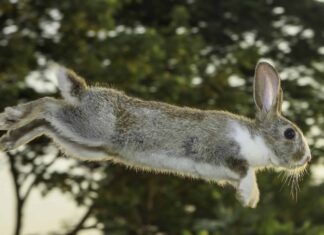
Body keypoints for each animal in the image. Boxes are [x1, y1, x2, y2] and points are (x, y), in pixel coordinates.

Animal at [0, 61, 312, 207]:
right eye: (289, 134)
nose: (307, 159)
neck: (257, 138)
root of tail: (85, 93)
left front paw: (247, 197)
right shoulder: (222, 151)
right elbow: (247, 172)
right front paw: (250, 198)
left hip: (82, 143)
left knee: (46, 123)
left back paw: (11, 137)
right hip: (90, 129)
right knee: (48, 105)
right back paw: (12, 116)